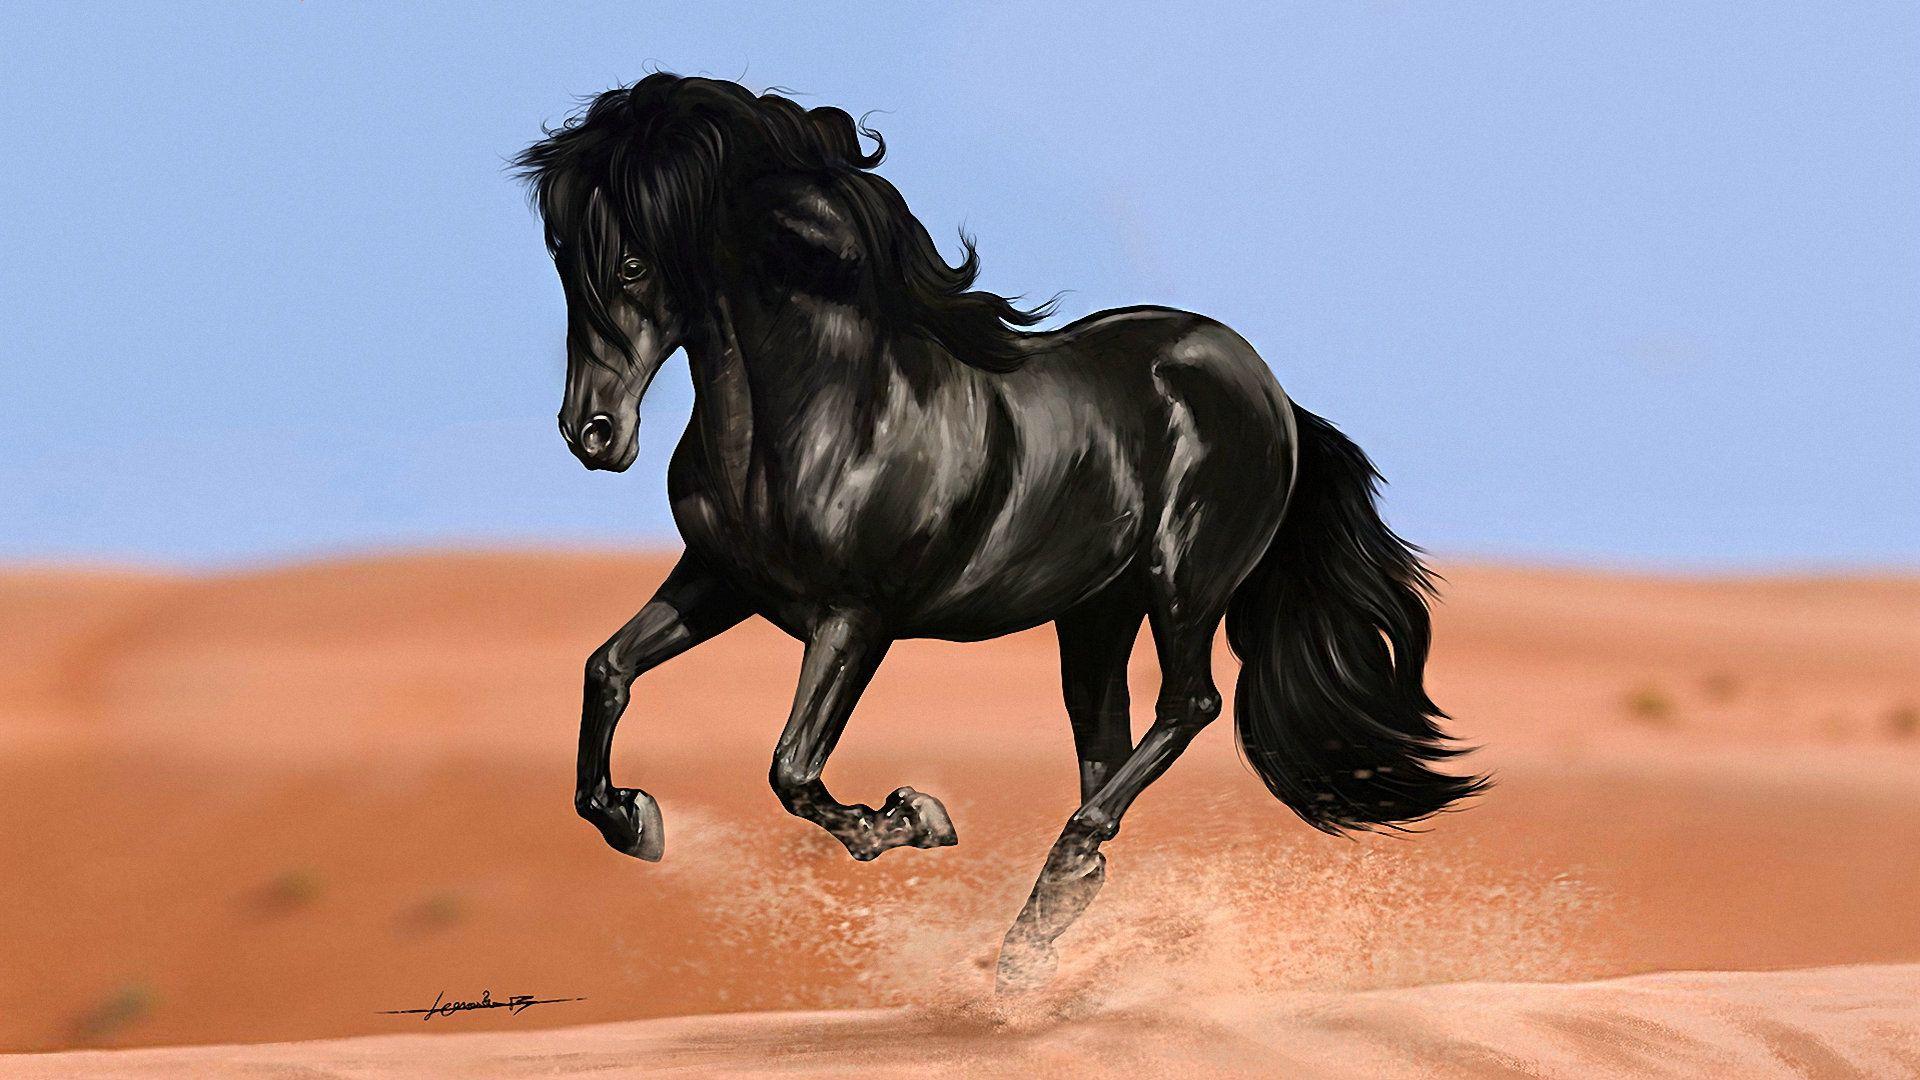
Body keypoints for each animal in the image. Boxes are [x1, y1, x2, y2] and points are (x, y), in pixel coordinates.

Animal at [515, 74, 1484, 988]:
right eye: (561, 258)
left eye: (632, 263)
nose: (591, 435)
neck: (824, 409)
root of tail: (1269, 390)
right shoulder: (722, 580)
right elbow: (607, 670)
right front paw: (633, 819)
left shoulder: (855, 617)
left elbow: (790, 766)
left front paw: (907, 820)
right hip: (1094, 616)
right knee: (1108, 746)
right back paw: (1040, 930)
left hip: (1183, 582)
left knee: (1189, 705)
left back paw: (1056, 881)